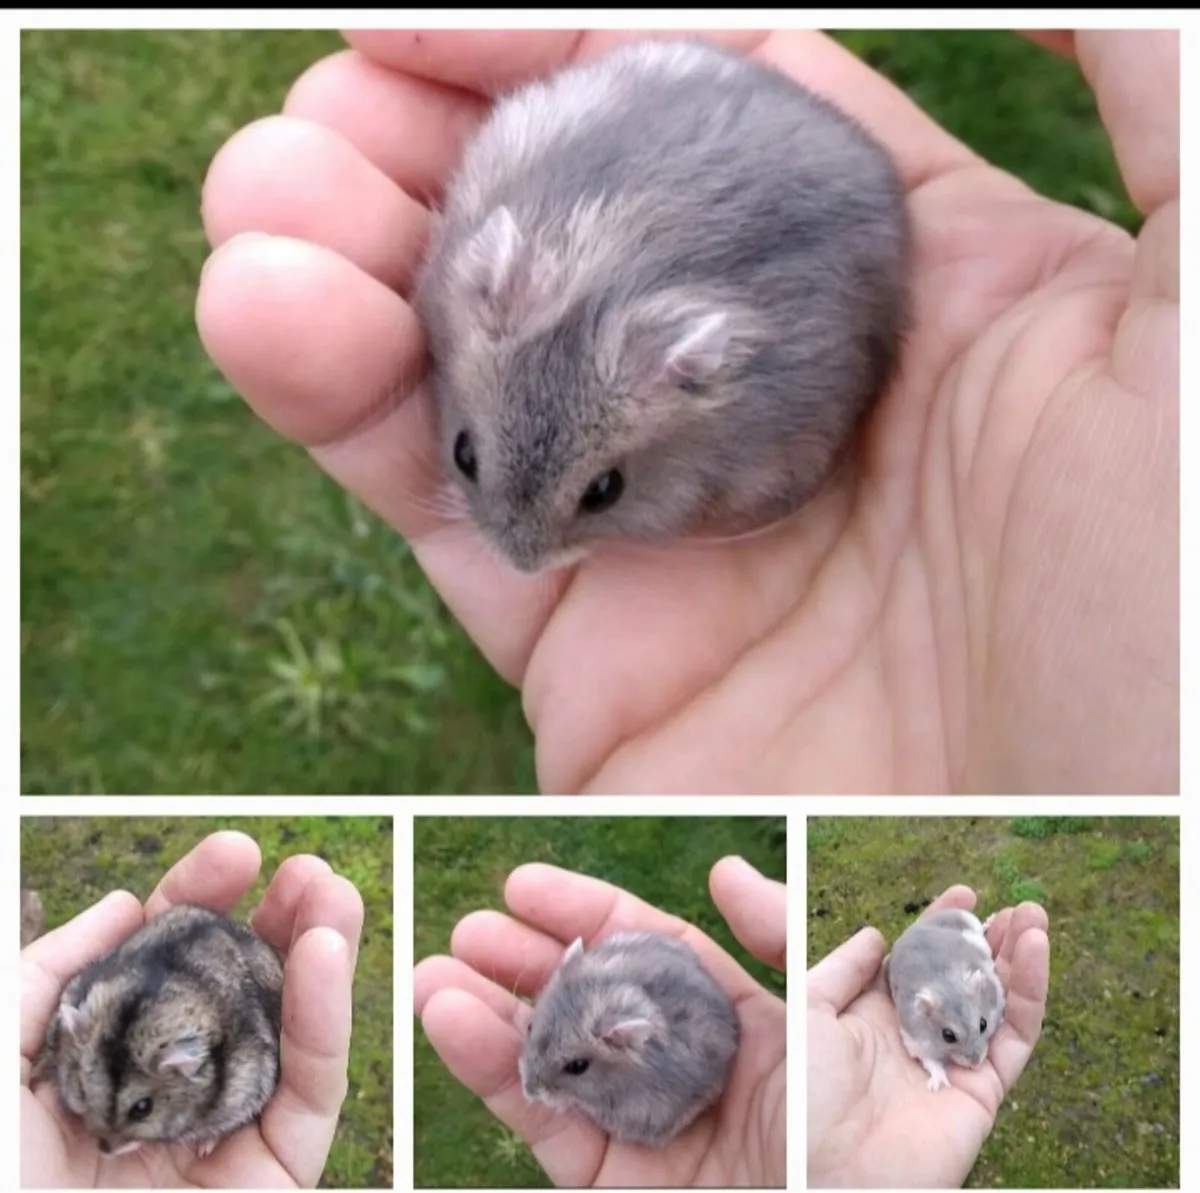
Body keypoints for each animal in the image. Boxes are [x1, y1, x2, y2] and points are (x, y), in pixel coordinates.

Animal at [884, 908, 1006, 1093]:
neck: (946, 986)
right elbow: (931, 1063)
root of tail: (915, 927)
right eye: (948, 1036)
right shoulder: (917, 1042)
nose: (975, 1064)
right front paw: (938, 1085)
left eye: (983, 1024)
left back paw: (991, 920)